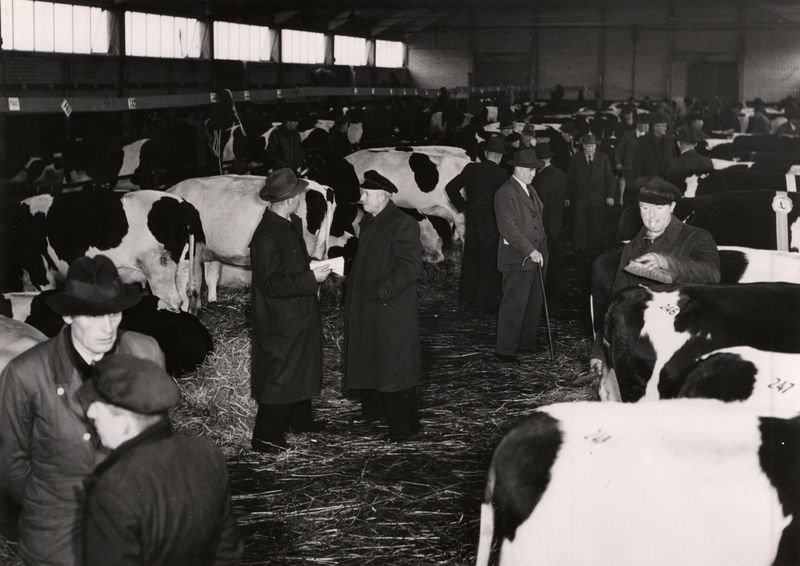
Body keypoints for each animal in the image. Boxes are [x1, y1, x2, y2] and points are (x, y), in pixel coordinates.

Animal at [16, 191, 205, 316]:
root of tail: (183, 205)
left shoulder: (41, 273)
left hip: (159, 270)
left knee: (173, 301)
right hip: (188, 264)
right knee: (189, 296)